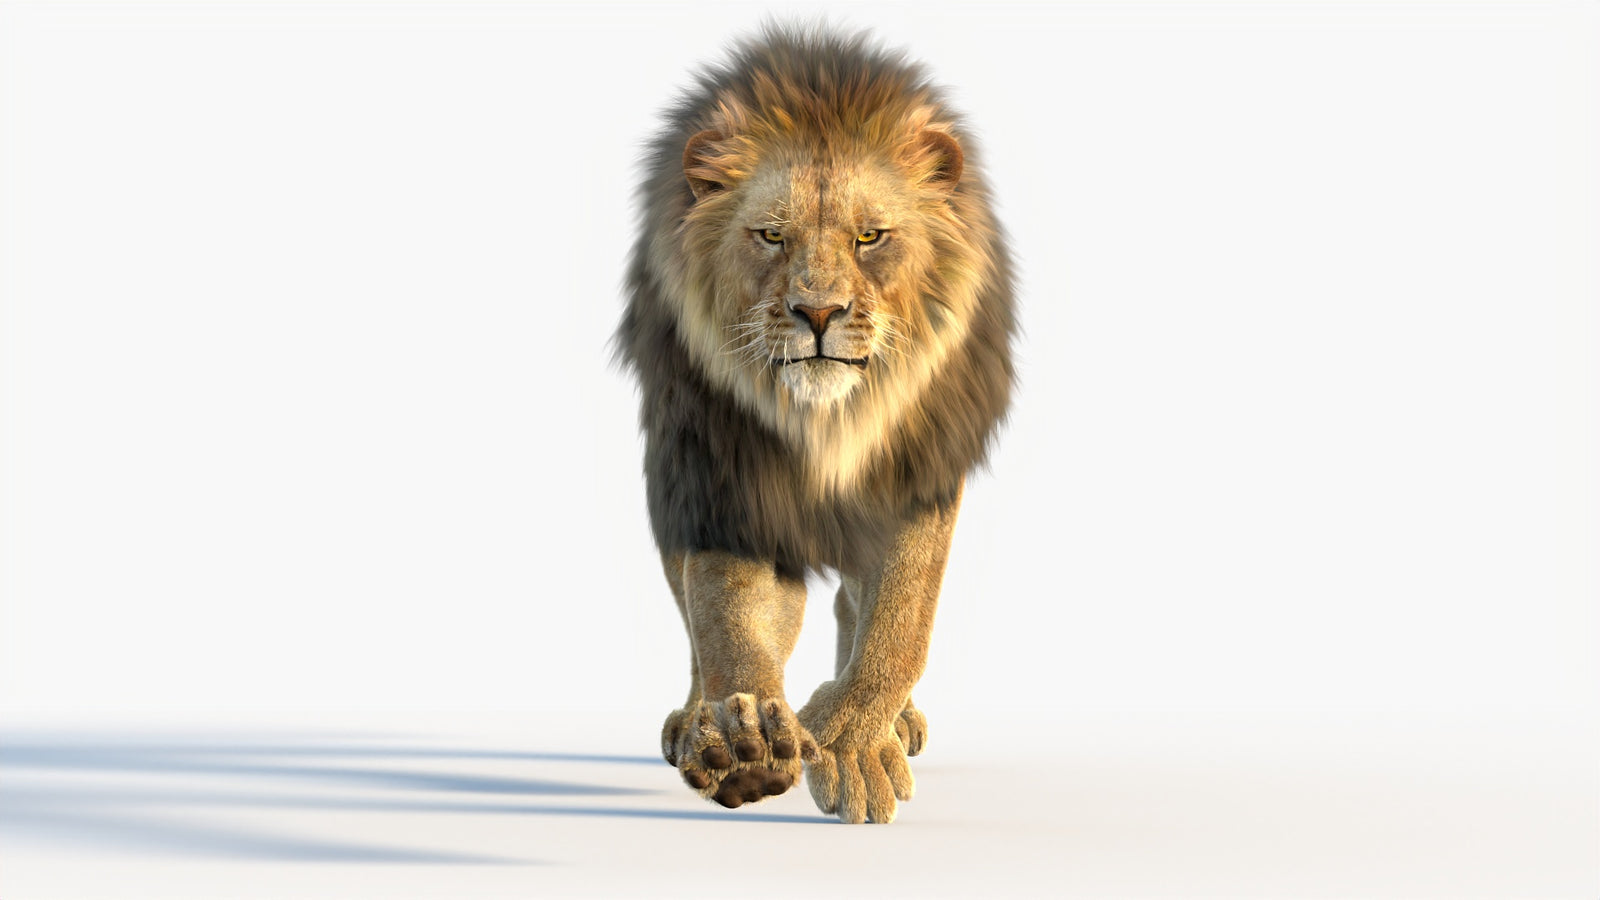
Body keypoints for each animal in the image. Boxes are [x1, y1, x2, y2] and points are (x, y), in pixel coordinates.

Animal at [614, 25, 1015, 824]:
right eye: (771, 235)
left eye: (870, 237)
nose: (819, 312)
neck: (825, 422)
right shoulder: (720, 475)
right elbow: (726, 612)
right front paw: (740, 742)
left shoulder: (919, 472)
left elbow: (901, 617)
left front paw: (854, 740)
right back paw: (696, 724)